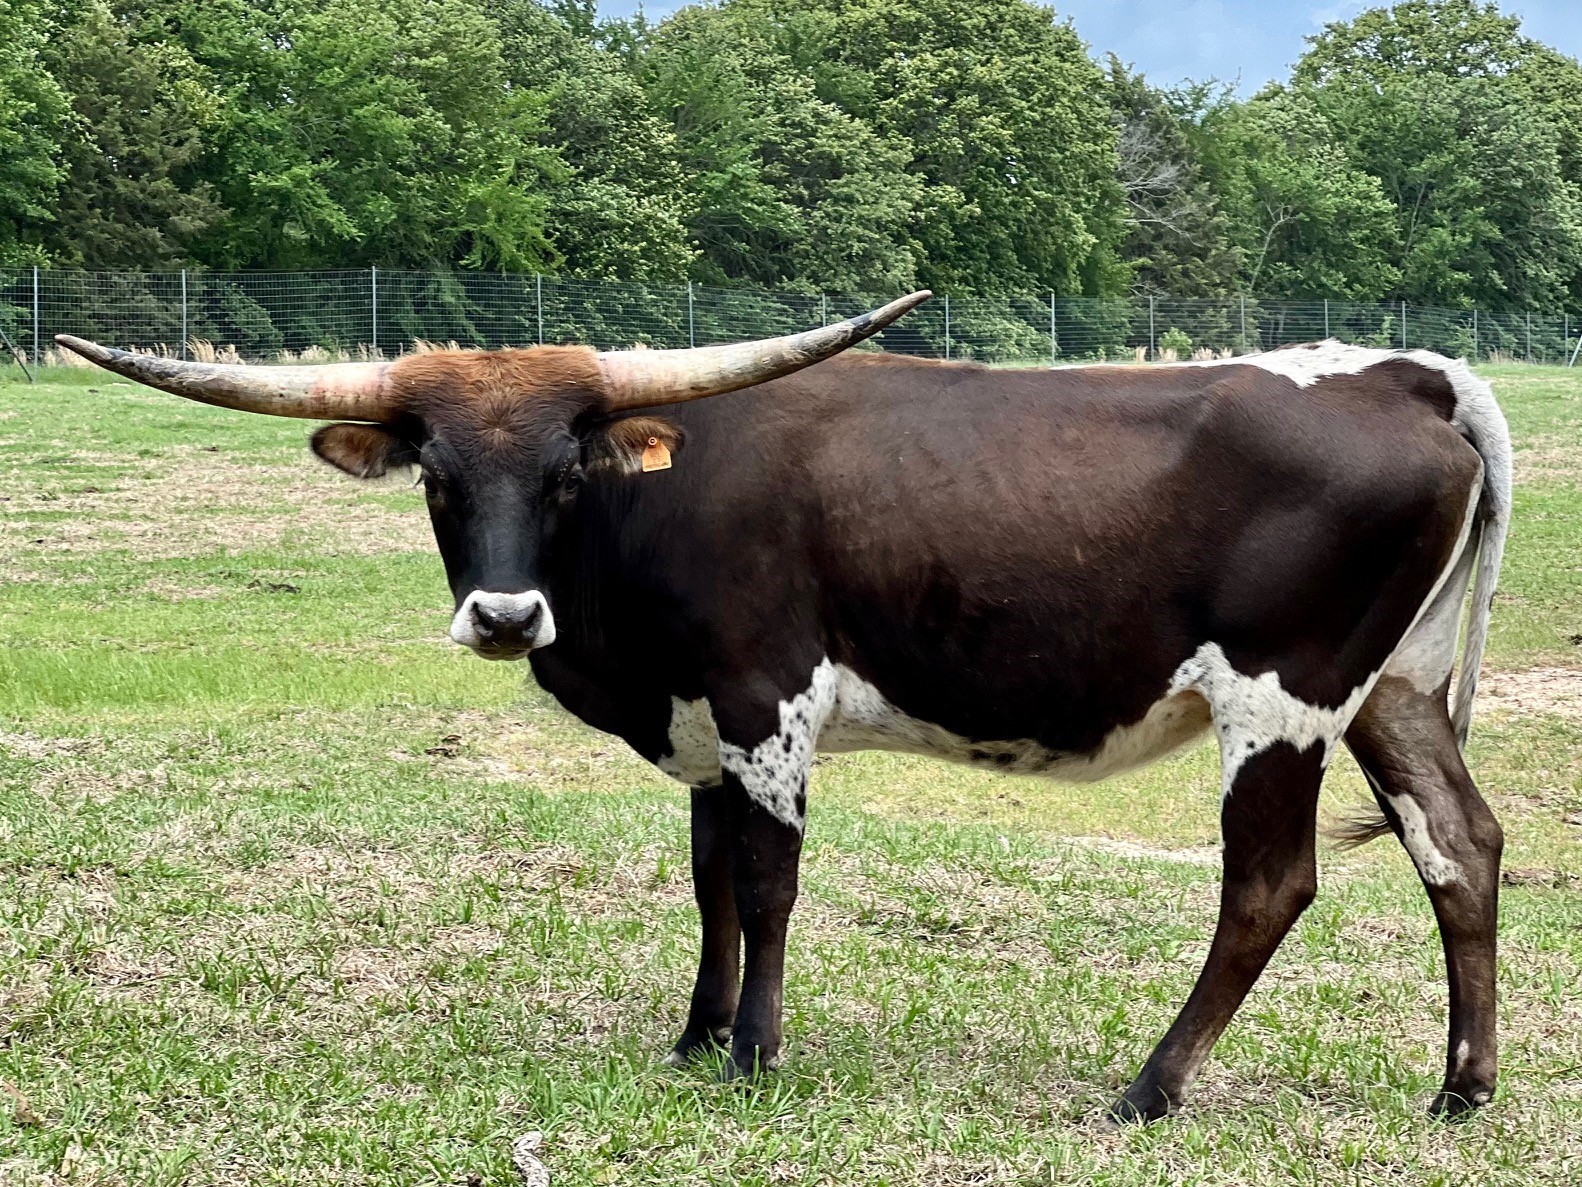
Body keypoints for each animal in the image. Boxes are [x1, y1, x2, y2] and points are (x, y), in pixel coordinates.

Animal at [57, 299, 1511, 1124]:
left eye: (566, 468)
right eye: (433, 472)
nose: (506, 616)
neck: (657, 499)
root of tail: (1403, 374)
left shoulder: (766, 702)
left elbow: (765, 884)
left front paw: (752, 1053)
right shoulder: (701, 721)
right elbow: (707, 879)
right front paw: (695, 1034)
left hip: (1281, 697)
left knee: (1268, 884)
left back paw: (1148, 1088)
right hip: (1388, 689)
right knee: (1459, 845)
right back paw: (1459, 1085)